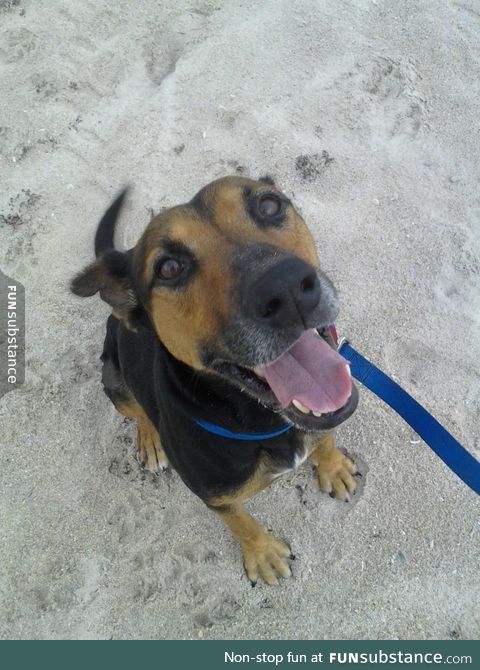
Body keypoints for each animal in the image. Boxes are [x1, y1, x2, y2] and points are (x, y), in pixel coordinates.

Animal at [70, 176, 356, 584]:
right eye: (169, 267)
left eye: (269, 206)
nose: (286, 287)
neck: (264, 421)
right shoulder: (214, 496)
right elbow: (240, 522)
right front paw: (263, 553)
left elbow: (326, 437)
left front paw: (332, 466)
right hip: (114, 380)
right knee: (137, 411)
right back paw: (150, 440)